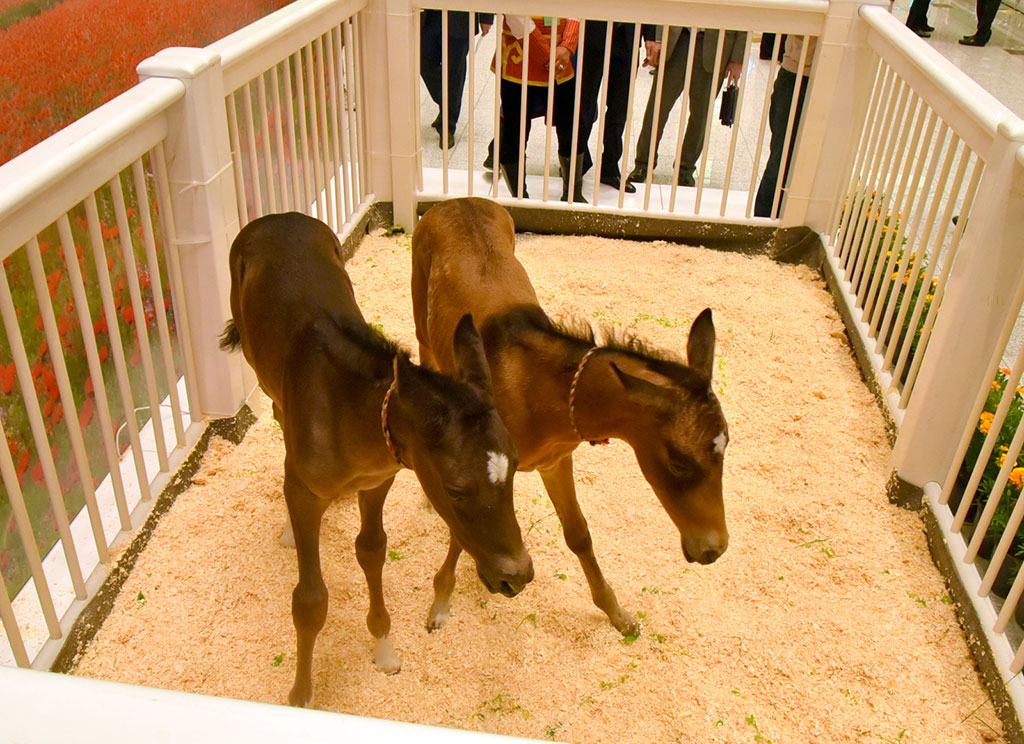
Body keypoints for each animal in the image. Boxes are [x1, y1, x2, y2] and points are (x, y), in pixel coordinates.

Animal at [220, 212, 533, 707]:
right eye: (455, 488)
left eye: (516, 468)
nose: (517, 576)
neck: (351, 414)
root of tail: (277, 216)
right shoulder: (308, 493)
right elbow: (310, 601)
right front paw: (300, 696)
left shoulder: (377, 481)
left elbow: (371, 549)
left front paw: (384, 649)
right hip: (260, 368)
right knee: (276, 412)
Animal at [410, 197, 728, 637]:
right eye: (680, 463)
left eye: (726, 446)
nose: (714, 549)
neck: (537, 390)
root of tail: (456, 201)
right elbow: (463, 531)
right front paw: (440, 601)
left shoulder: (556, 461)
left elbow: (578, 534)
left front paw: (617, 614)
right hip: (421, 314)